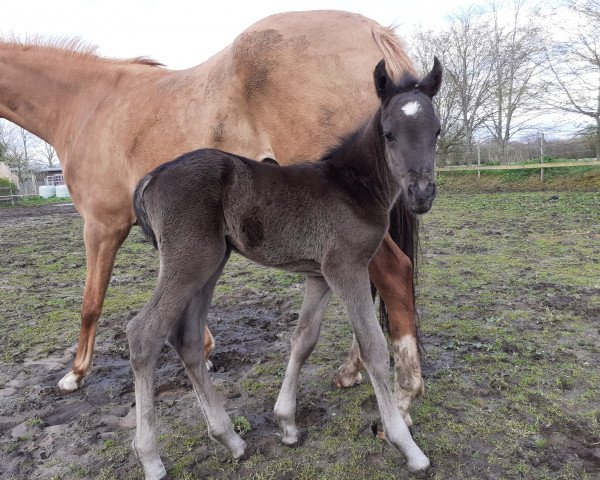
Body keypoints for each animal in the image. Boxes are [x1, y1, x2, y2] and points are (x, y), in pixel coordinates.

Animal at [0, 10, 422, 424]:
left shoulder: (102, 226)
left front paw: (75, 373)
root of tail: (371, 30)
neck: (90, 102)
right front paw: (202, 350)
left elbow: (91, 303)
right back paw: (355, 372)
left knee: (393, 273)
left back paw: (403, 397)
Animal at [130, 58, 440, 478]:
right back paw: (151, 458)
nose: (421, 194)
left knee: (188, 340)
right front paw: (406, 445)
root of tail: (152, 176)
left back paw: (230, 439)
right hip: (189, 260)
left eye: (437, 132)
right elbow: (374, 347)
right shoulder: (347, 268)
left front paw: (287, 423)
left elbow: (303, 339)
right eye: (389, 134)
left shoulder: (319, 275)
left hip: (210, 262)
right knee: (143, 334)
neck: (352, 186)